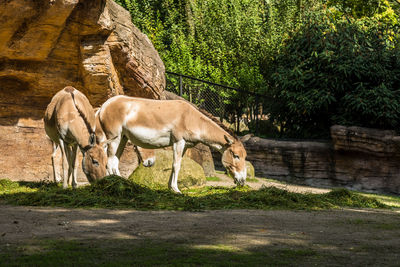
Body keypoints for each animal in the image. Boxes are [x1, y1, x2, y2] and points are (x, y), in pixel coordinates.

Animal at [97, 95, 247, 194]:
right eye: (236, 156)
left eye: (245, 156)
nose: (242, 180)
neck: (191, 118)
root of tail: (105, 105)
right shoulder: (178, 141)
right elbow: (176, 165)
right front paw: (176, 189)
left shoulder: (185, 145)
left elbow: (175, 165)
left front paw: (170, 188)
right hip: (114, 137)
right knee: (109, 161)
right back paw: (112, 184)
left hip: (122, 138)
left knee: (115, 161)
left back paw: (121, 183)